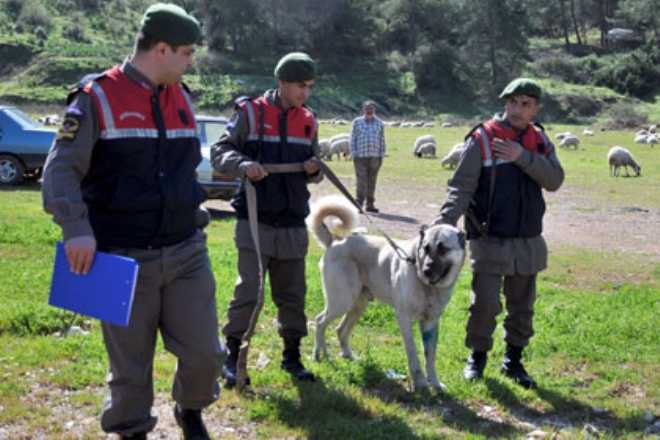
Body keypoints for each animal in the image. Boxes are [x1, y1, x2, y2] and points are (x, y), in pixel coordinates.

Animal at [308, 196, 466, 392]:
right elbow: (413, 355)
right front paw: (421, 383)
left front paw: (435, 384)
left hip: (358, 305)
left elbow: (430, 358)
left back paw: (349, 356)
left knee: (340, 329)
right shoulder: (404, 319)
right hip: (341, 301)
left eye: (443, 249)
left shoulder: (431, 323)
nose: (426, 270)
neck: (429, 287)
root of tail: (335, 241)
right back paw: (319, 354)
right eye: (426, 248)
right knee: (320, 321)